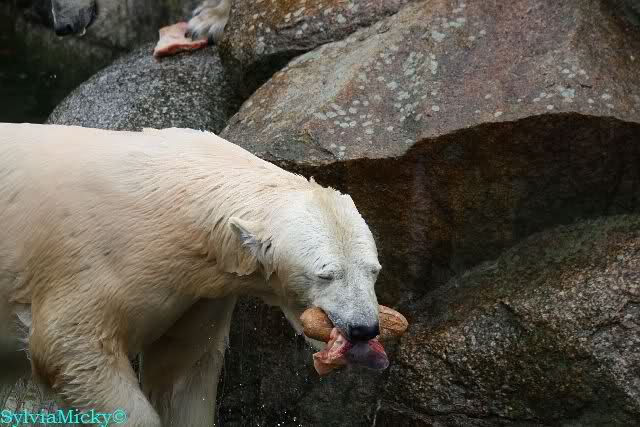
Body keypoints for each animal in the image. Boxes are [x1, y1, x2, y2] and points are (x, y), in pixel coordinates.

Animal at [0, 123, 382, 426]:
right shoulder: (87, 259)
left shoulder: (198, 290)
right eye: (326, 274)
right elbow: (69, 346)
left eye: (374, 270)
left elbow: (182, 369)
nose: (363, 328)